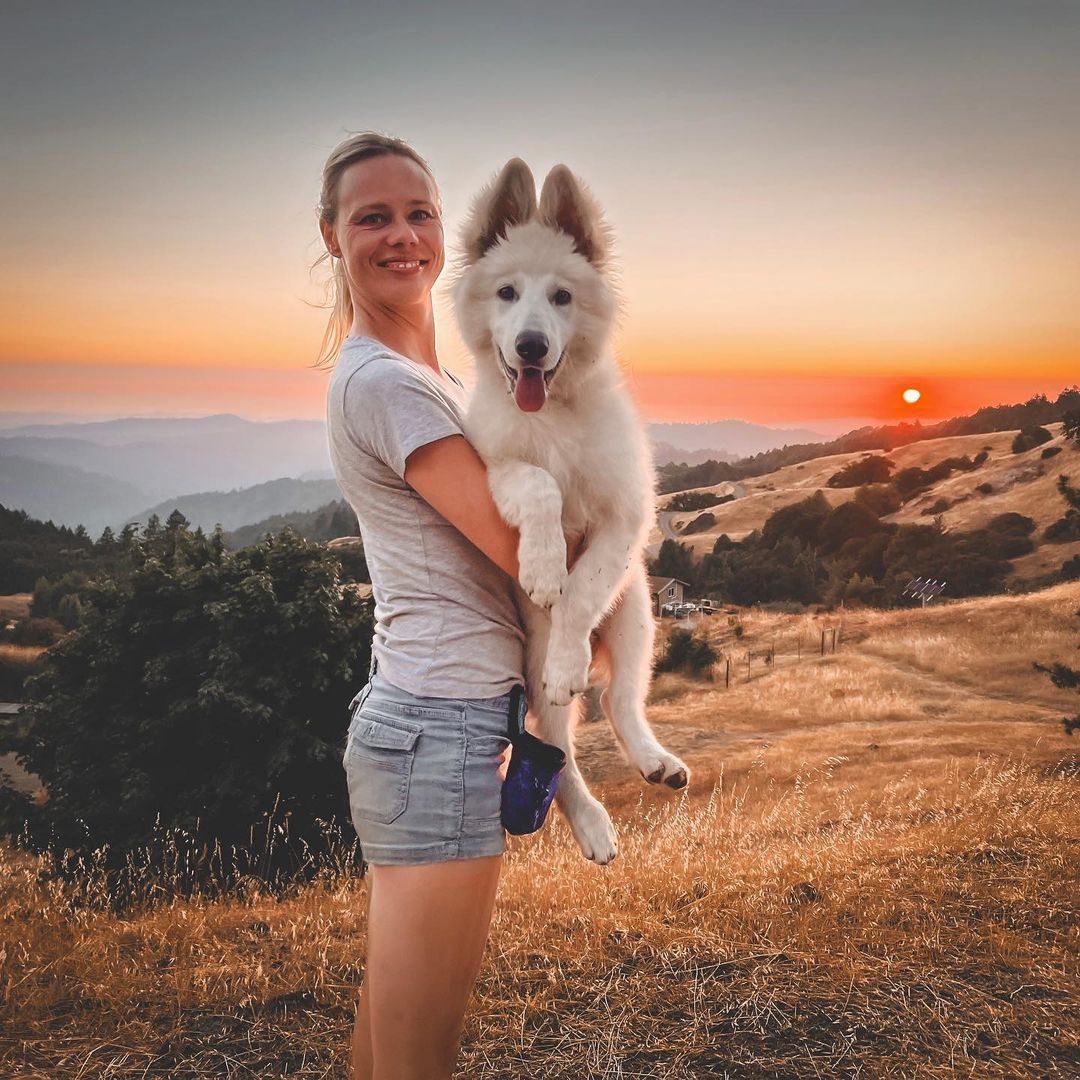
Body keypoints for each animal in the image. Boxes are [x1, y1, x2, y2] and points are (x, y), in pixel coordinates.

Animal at [449, 159, 686, 864]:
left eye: (561, 297)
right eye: (505, 293)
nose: (530, 346)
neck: (550, 412)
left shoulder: (625, 513)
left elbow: (581, 592)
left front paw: (566, 645)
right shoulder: (494, 467)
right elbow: (540, 487)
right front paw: (542, 564)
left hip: (636, 612)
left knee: (617, 696)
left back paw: (654, 760)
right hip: (534, 670)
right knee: (563, 759)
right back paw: (594, 826)